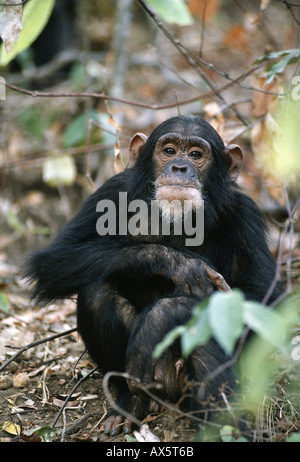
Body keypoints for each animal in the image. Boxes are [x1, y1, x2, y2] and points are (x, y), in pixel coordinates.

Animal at [24, 114, 282, 434]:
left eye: (196, 154)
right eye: (169, 151)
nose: (180, 167)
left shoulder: (246, 214)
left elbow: (263, 297)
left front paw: (160, 316)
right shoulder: (111, 191)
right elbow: (55, 259)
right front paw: (181, 263)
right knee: (96, 291)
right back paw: (132, 404)